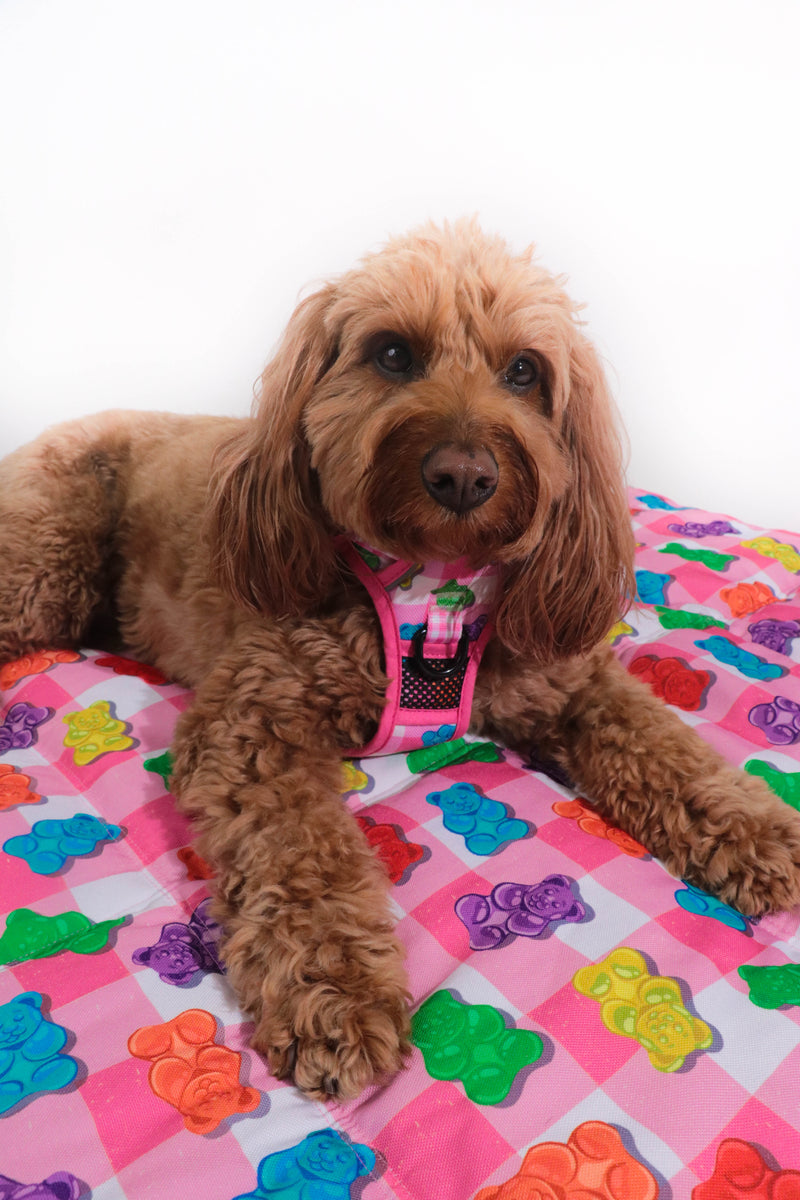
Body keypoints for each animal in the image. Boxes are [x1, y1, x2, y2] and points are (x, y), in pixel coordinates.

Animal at [1, 220, 800, 1099]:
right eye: (391, 354)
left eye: (526, 371)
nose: (463, 475)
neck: (435, 588)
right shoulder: (252, 723)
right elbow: (300, 859)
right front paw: (334, 989)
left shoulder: (567, 680)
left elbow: (660, 744)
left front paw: (750, 827)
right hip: (45, 569)